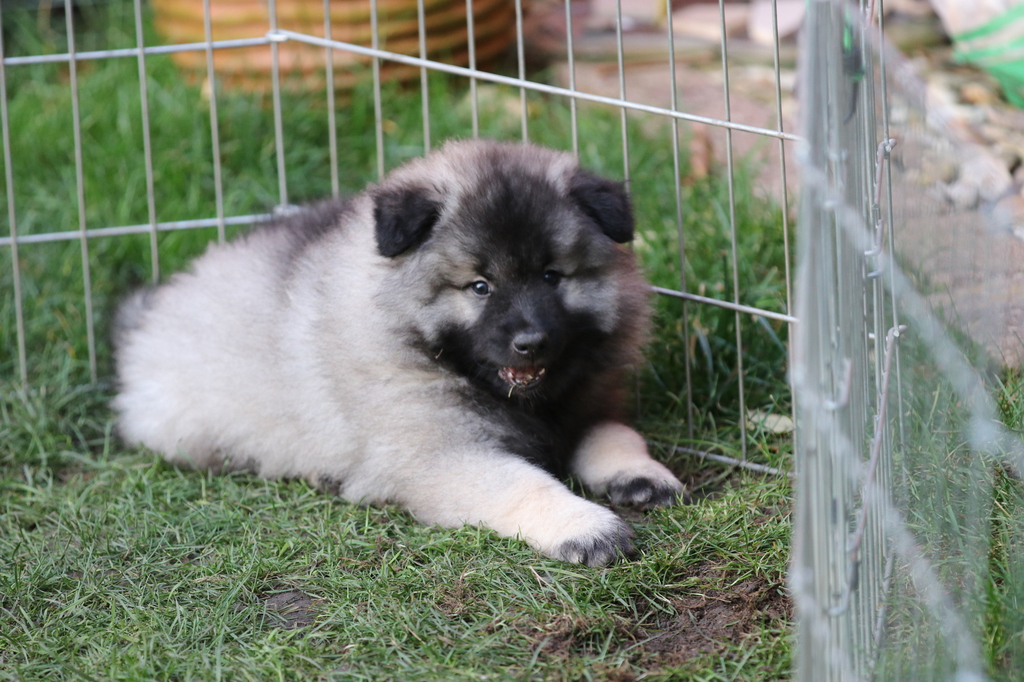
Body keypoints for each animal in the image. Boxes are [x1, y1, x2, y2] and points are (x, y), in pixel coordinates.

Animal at [113, 139, 684, 566]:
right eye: (480, 287)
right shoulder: (444, 456)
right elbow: (525, 484)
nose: (531, 342)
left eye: (551, 276)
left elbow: (618, 434)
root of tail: (151, 311)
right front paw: (587, 527)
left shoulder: (589, 405)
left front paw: (644, 476)